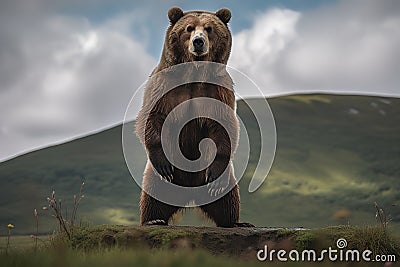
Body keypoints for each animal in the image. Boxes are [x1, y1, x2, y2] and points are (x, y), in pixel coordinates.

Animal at [136, 6, 252, 228]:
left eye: (209, 28)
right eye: (189, 28)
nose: (198, 41)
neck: (193, 74)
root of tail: (189, 194)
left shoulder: (218, 91)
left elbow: (224, 125)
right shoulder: (164, 86)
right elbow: (152, 117)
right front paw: (163, 164)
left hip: (220, 176)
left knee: (228, 197)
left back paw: (235, 222)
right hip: (161, 175)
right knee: (154, 194)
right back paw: (153, 219)